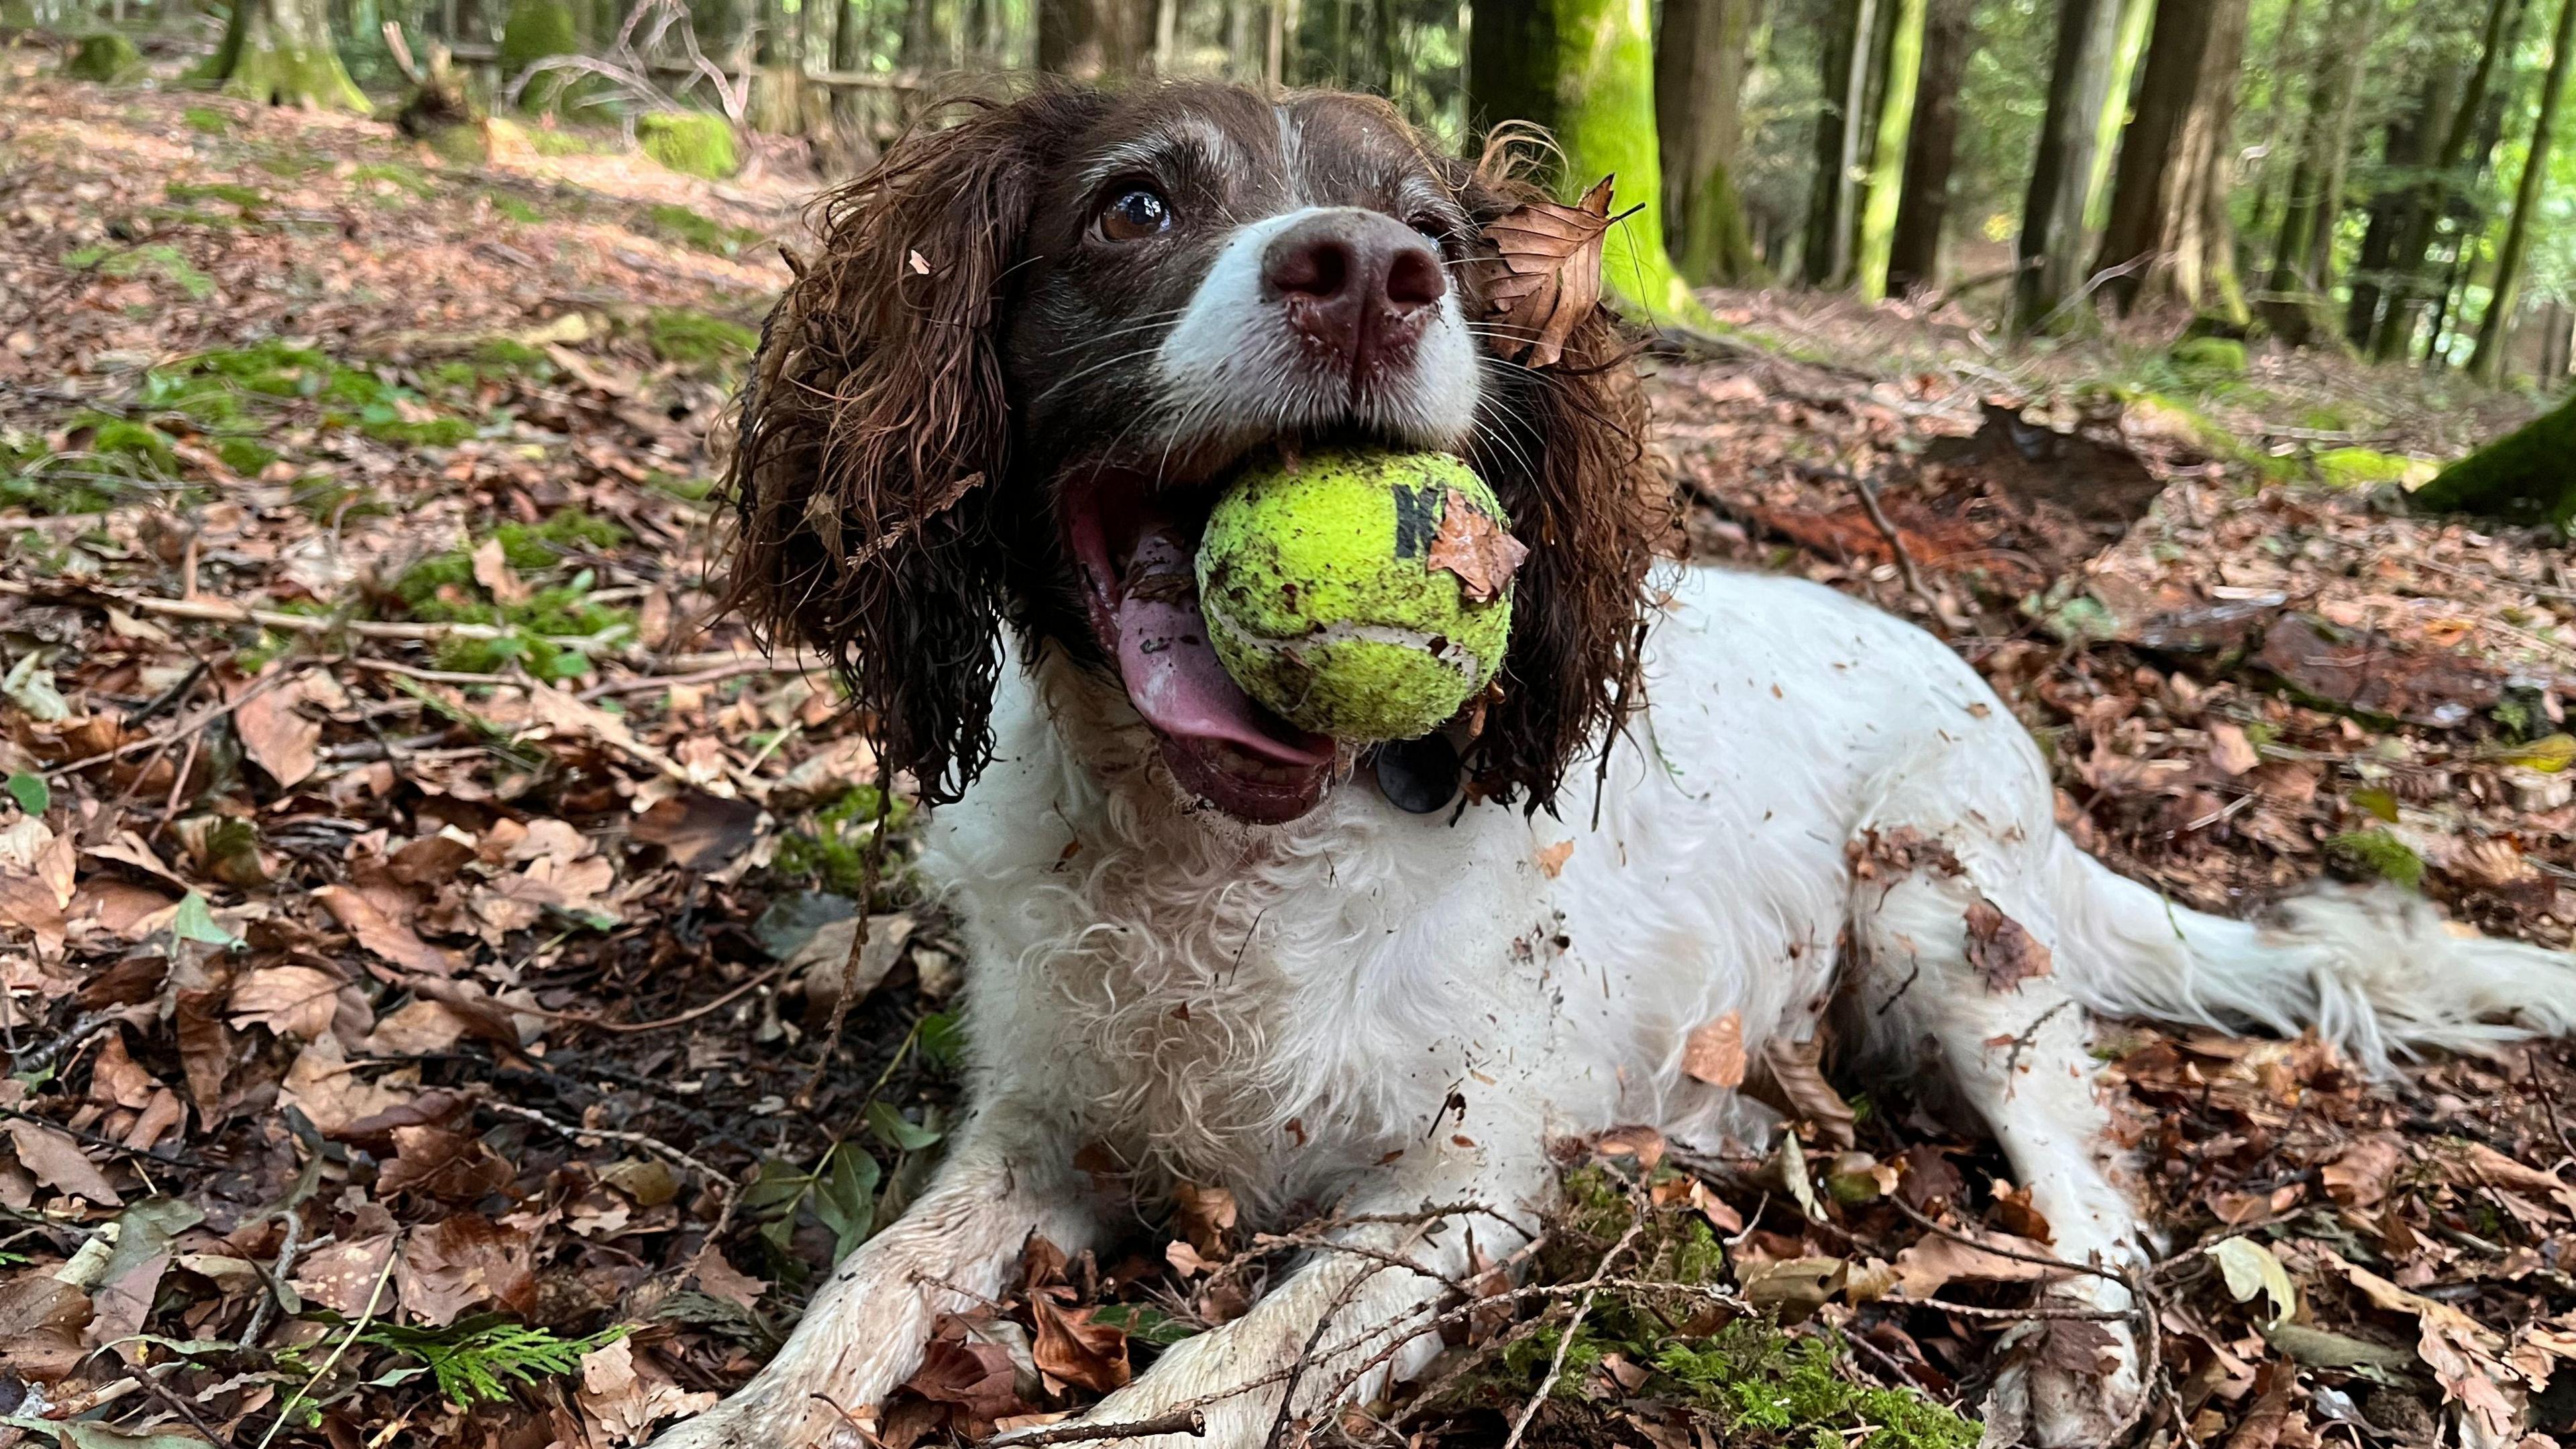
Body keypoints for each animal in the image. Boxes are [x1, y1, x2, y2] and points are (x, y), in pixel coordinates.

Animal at [659, 82, 2576, 1444]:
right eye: (1134, 204)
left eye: (1435, 228)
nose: (1370, 273)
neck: (1226, 848)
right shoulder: (1042, 1135)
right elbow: (876, 1273)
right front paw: (751, 1411)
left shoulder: (1453, 1188)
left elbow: (1223, 1366)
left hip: (1942, 918)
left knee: (2098, 1197)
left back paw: (2079, 1367)